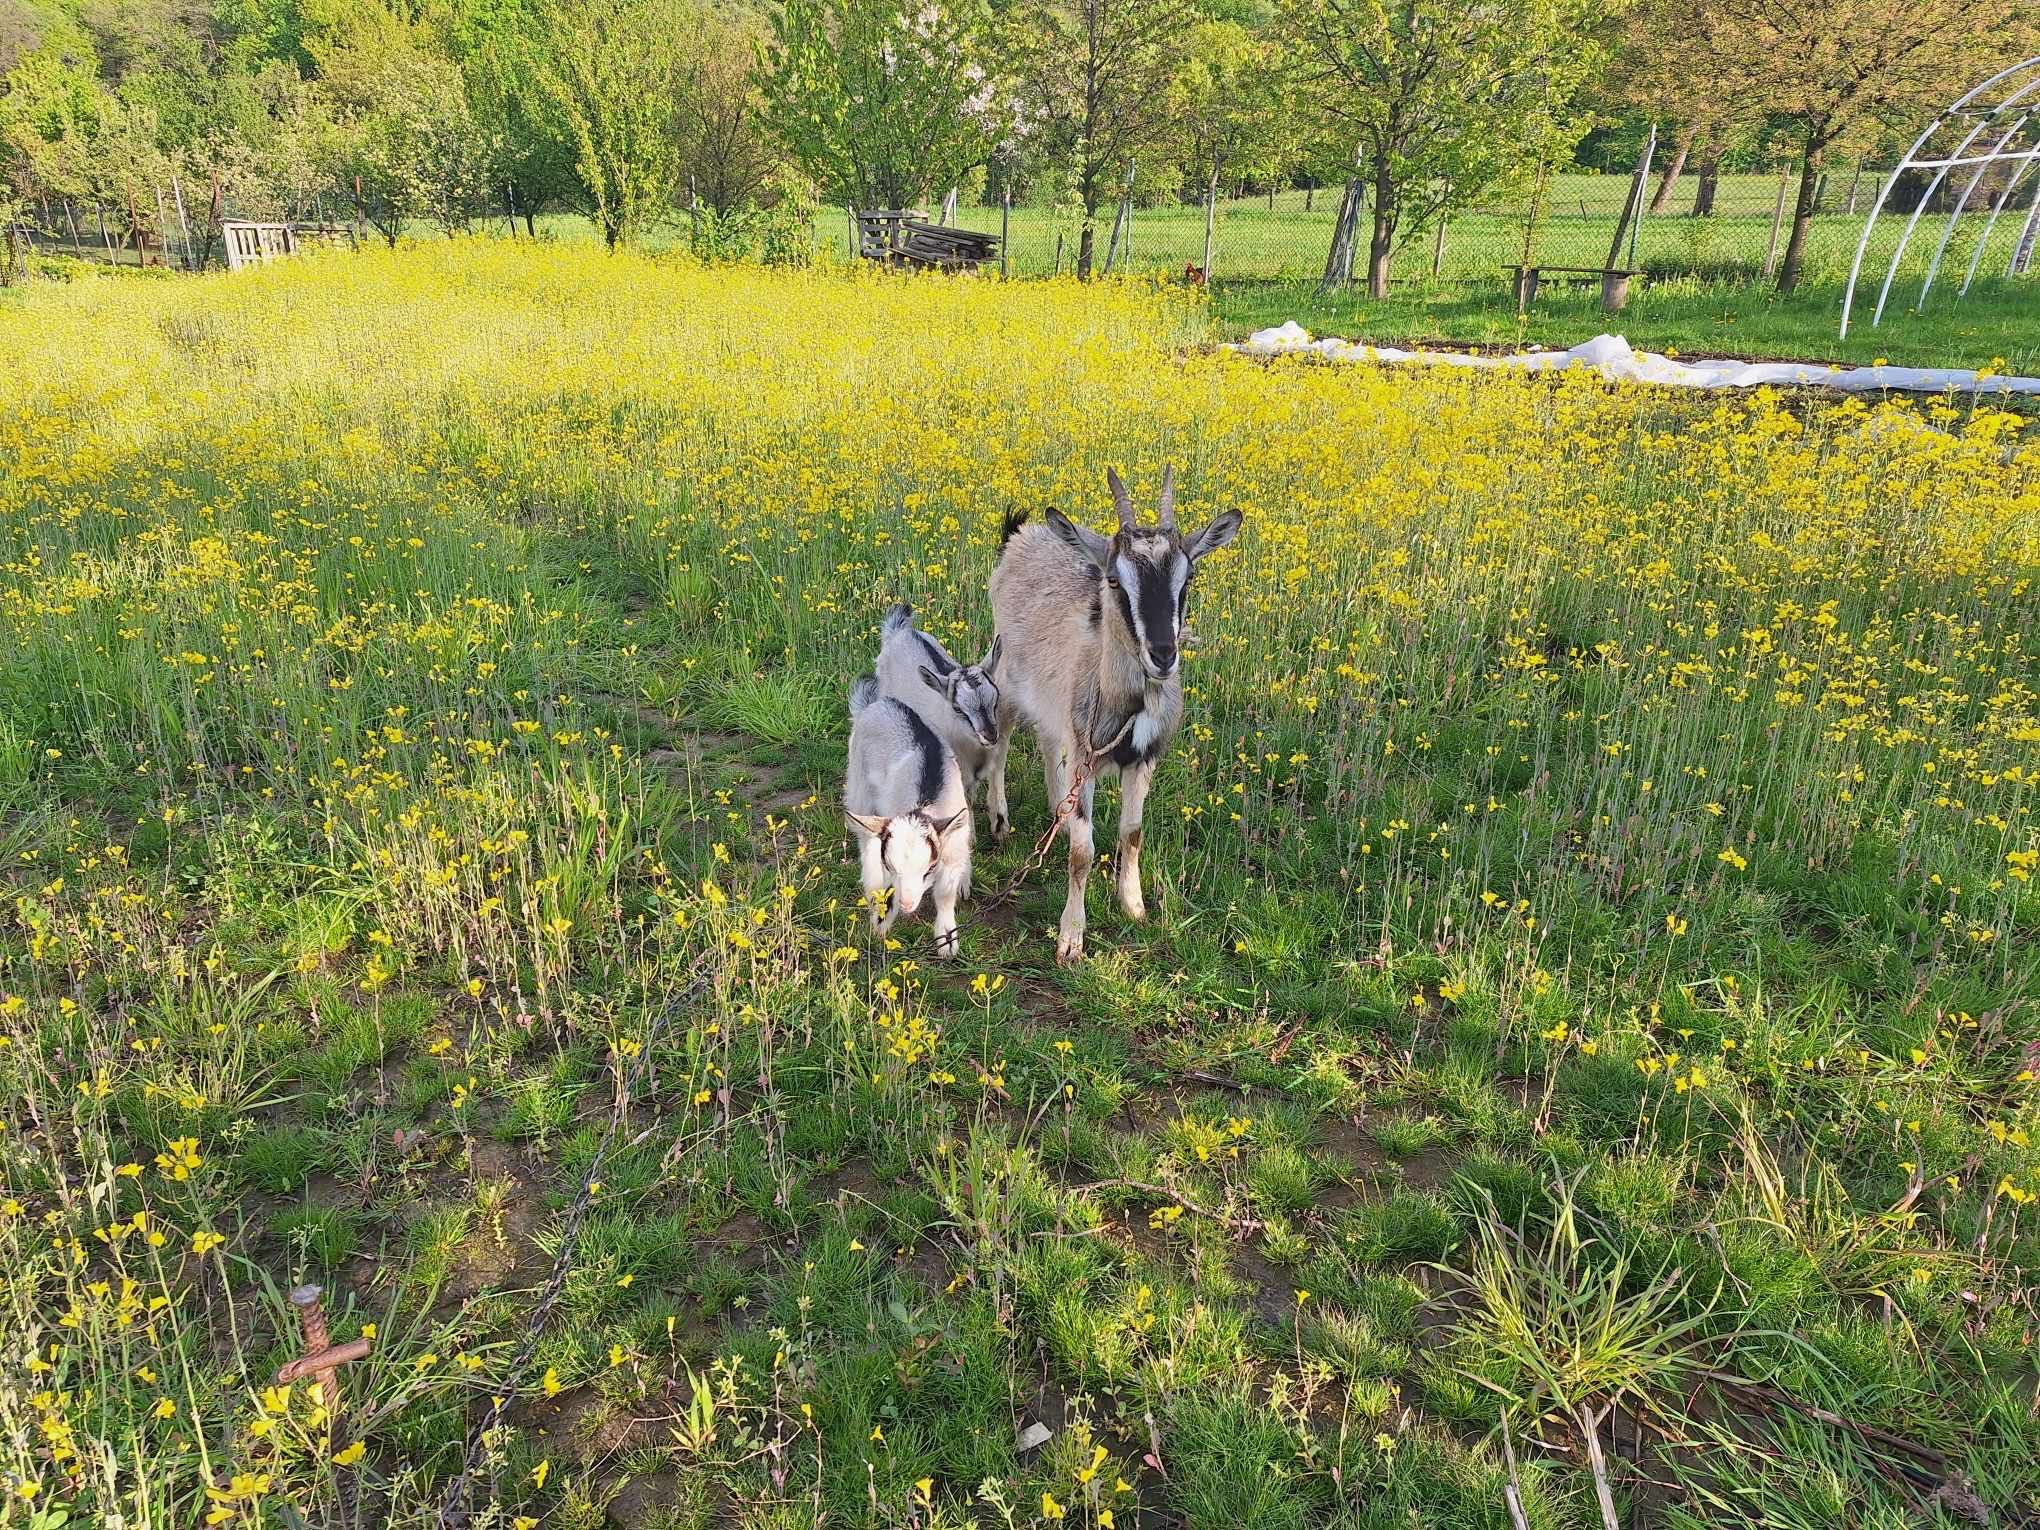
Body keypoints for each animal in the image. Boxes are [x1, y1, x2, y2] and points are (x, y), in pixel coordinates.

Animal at [844, 673, 971, 958]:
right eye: (891, 866)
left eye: (929, 869)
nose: (907, 904)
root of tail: (877, 704)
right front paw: (880, 924)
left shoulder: (953, 846)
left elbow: (944, 894)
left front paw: (946, 939)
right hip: (859, 788)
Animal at [987, 461, 1240, 962]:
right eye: (1114, 580)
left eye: (1188, 579)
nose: (1163, 655)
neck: (1131, 704)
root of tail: (1021, 533)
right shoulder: (1086, 752)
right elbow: (1082, 855)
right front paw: (1070, 939)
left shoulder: (1143, 758)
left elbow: (1132, 833)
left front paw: (1134, 906)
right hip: (1008, 676)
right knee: (1002, 739)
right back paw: (1000, 820)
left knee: (1048, 741)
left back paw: (1058, 815)